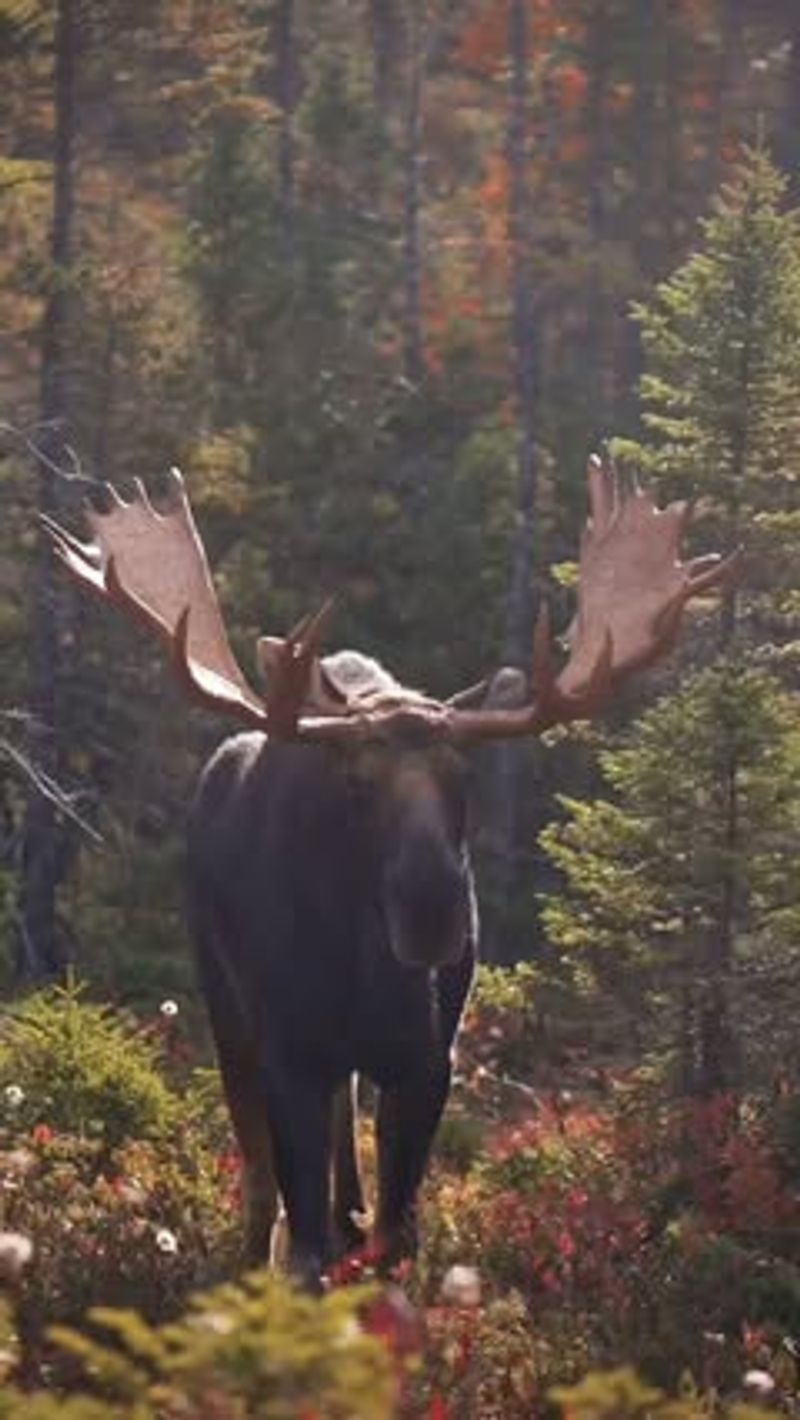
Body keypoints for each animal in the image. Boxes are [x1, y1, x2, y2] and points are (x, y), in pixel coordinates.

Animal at [40, 454, 735, 1288]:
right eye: (356, 782)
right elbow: (303, 1239)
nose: (434, 911)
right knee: (259, 1182)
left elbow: (399, 1236)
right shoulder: (290, 1050)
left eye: (464, 775)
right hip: (224, 1006)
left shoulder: (429, 1058)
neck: (365, 973)